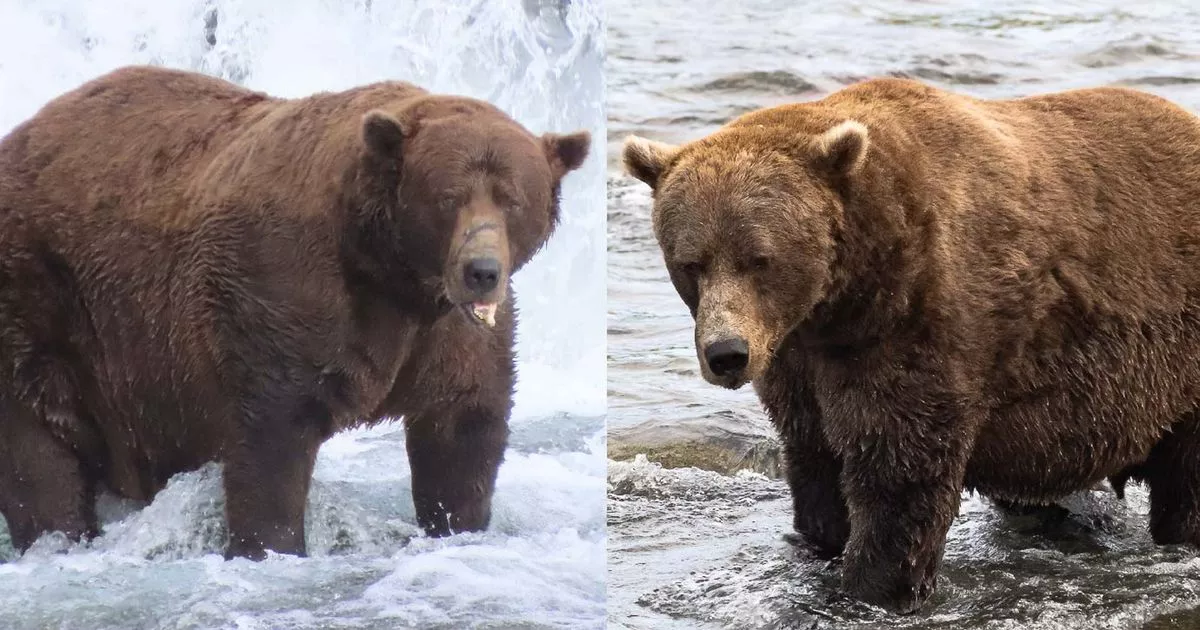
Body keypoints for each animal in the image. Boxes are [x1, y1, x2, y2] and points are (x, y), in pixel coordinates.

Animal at [0, 65, 590, 560]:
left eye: (512, 199)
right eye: (448, 197)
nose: (481, 270)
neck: (391, 274)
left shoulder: (448, 335)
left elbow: (463, 427)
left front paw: (457, 523)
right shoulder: (283, 292)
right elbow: (272, 438)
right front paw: (269, 545)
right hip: (48, 296)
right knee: (36, 443)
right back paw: (58, 537)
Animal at [622, 77, 1200, 613]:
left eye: (759, 258)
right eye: (691, 262)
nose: (727, 353)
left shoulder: (915, 322)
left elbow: (899, 472)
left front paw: (871, 588)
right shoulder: (797, 362)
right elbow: (815, 461)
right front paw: (820, 542)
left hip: (1174, 352)